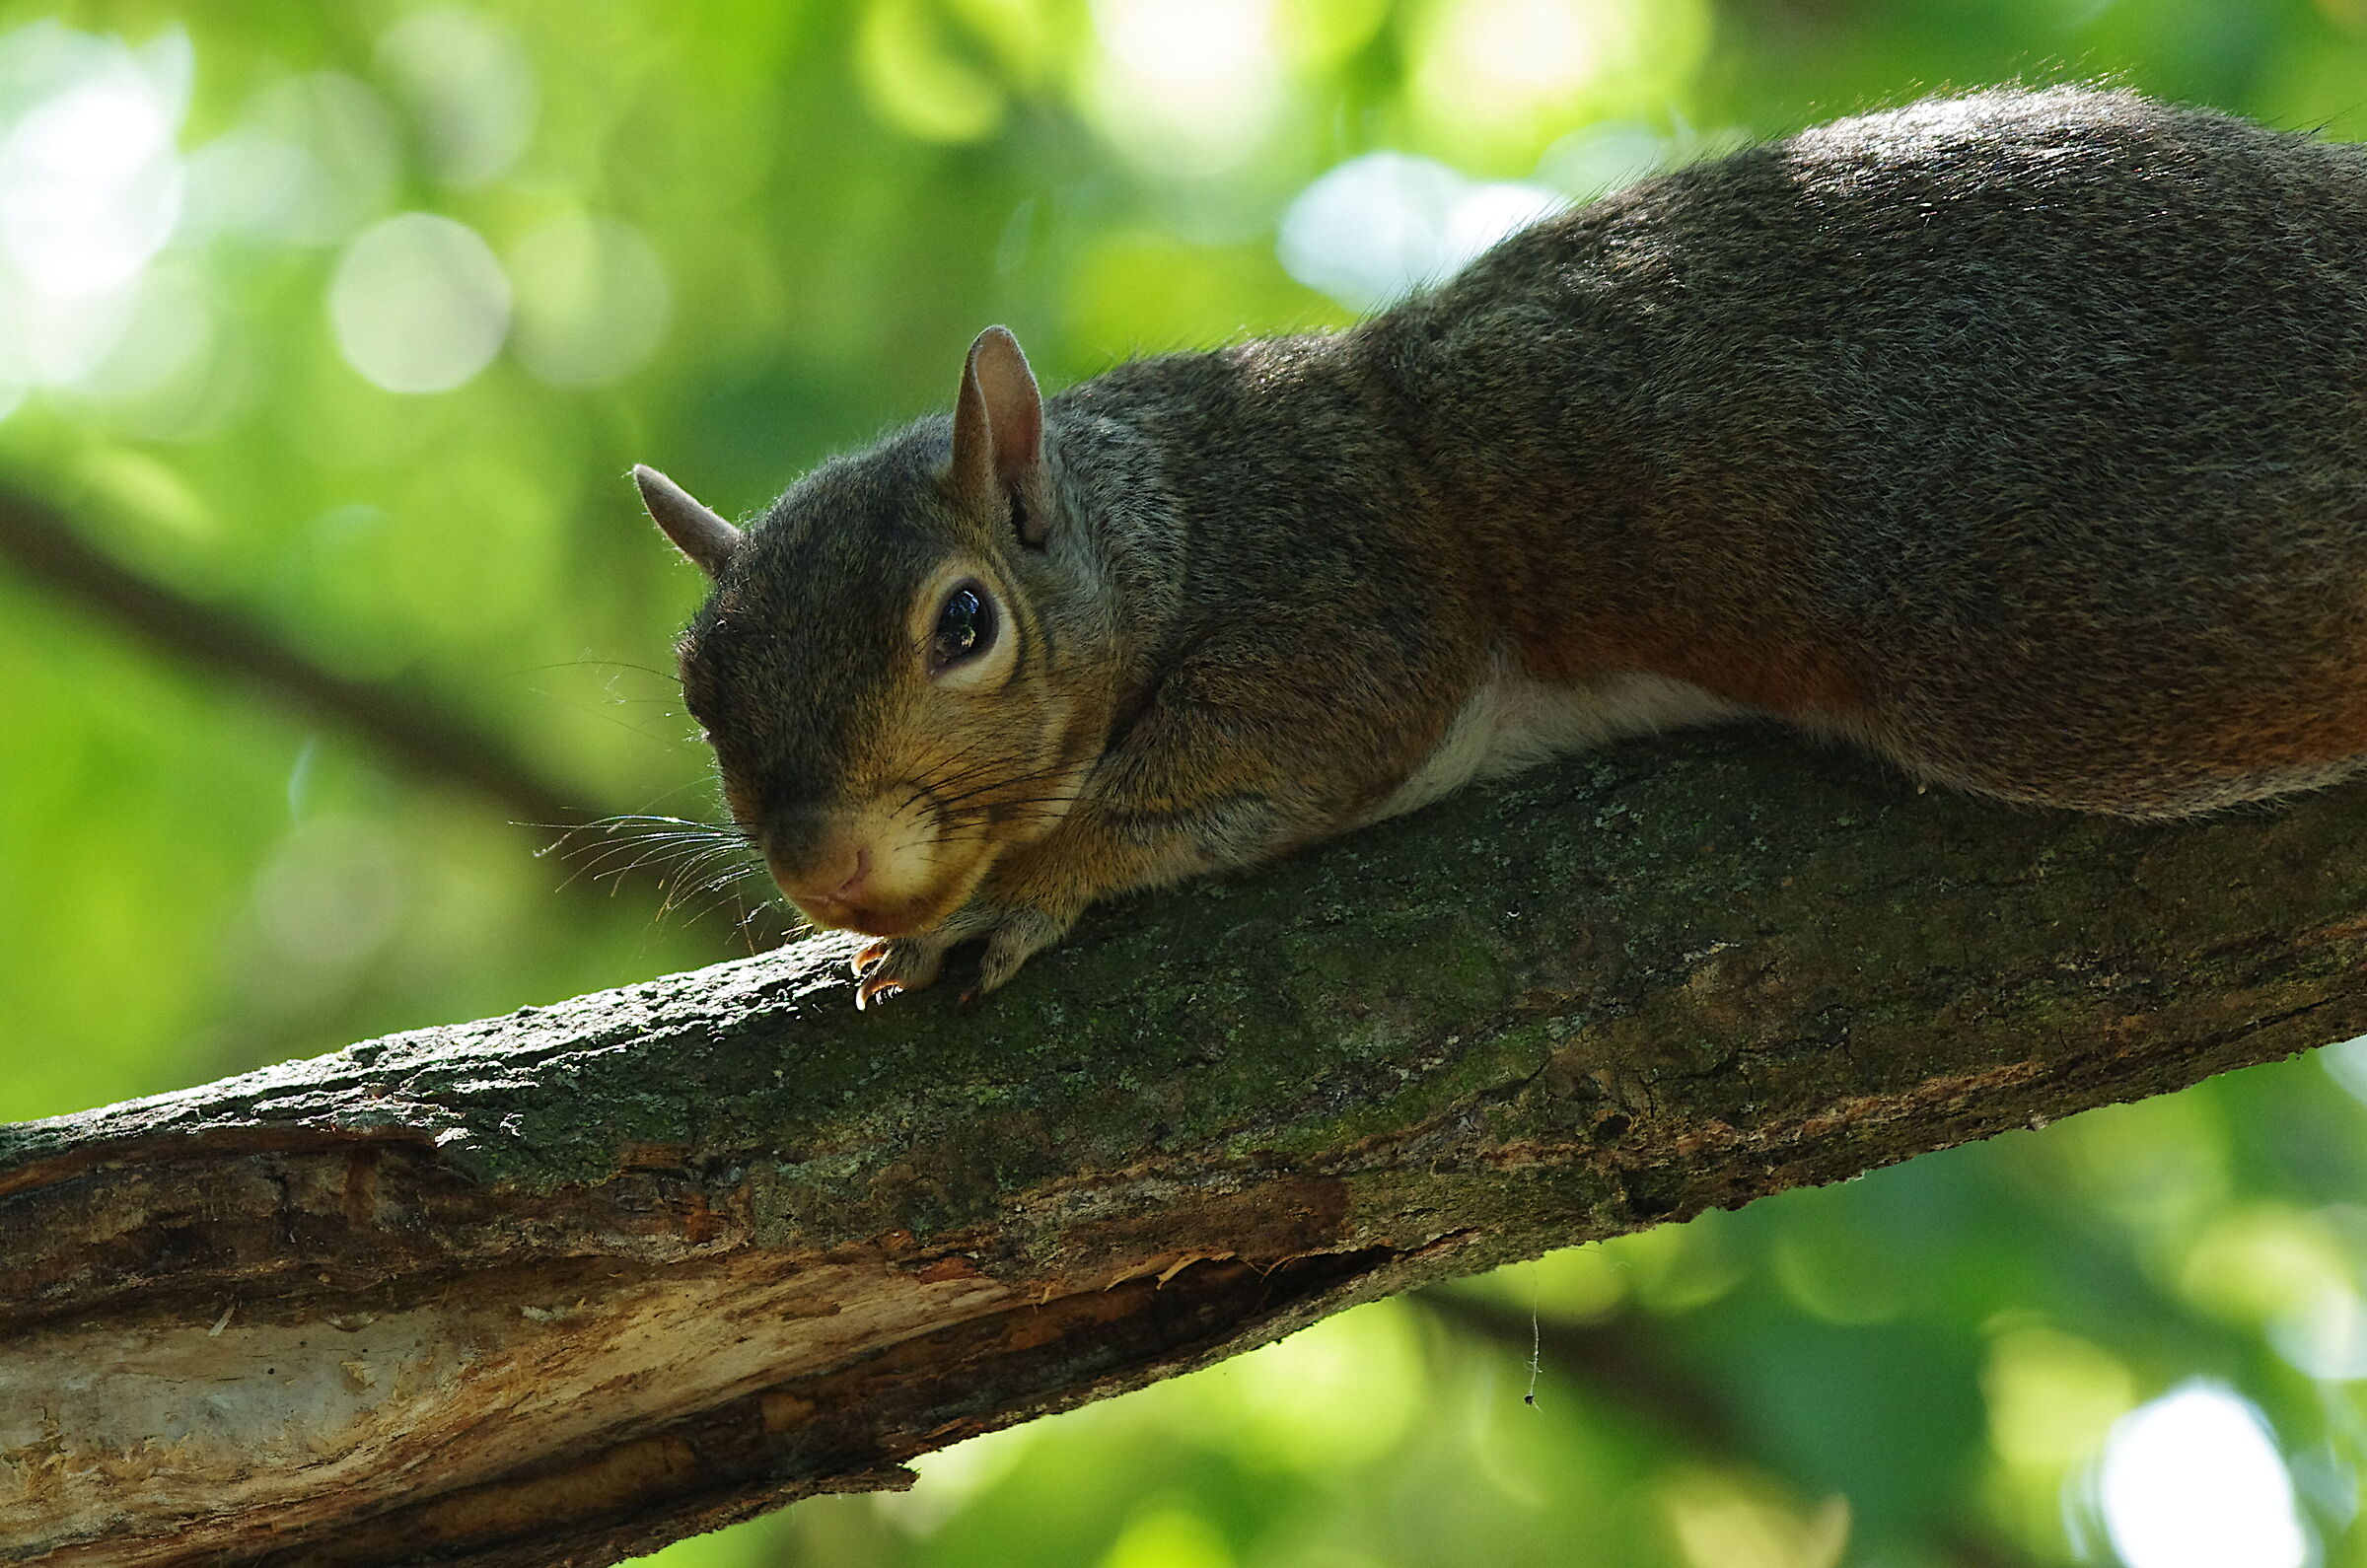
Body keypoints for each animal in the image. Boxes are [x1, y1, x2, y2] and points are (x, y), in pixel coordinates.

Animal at [634, 86, 2367, 1006]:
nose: (826, 867)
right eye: (697, 684)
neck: (1172, 514)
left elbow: (1252, 759)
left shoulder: (1350, 575)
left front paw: (1024, 883)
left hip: (2092, 617)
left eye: (966, 625)